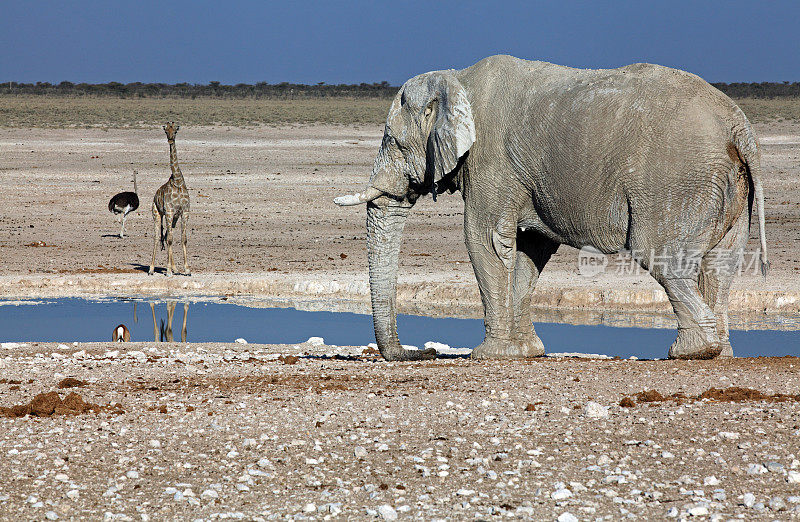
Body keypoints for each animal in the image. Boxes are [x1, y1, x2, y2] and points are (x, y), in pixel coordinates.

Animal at [148, 122, 191, 276]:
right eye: (166, 130)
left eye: (176, 130)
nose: (170, 140)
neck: (178, 181)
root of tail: (155, 195)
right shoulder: (170, 212)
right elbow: (171, 240)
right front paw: (167, 271)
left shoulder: (184, 212)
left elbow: (183, 239)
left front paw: (186, 269)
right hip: (157, 213)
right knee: (157, 237)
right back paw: (151, 269)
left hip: (173, 219)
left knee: (166, 236)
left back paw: (175, 268)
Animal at [332, 54, 768, 360]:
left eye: (393, 140)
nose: (422, 352)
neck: (456, 77)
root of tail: (739, 127)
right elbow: (530, 248)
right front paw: (524, 353)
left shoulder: (491, 161)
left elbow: (483, 240)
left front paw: (489, 356)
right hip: (727, 187)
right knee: (721, 264)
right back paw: (720, 352)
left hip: (676, 182)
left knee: (660, 257)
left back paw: (692, 352)